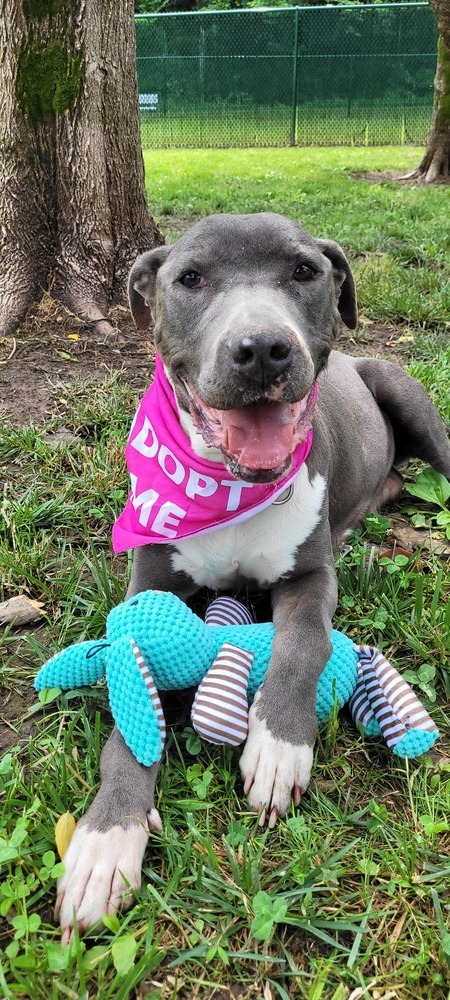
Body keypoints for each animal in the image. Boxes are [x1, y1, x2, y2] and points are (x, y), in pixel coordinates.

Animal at [56, 213, 450, 944]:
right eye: (189, 278)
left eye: (304, 271)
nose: (263, 348)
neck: (226, 482)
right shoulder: (147, 591)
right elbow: (131, 697)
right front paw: (106, 838)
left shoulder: (312, 578)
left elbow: (302, 645)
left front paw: (278, 747)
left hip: (406, 393)